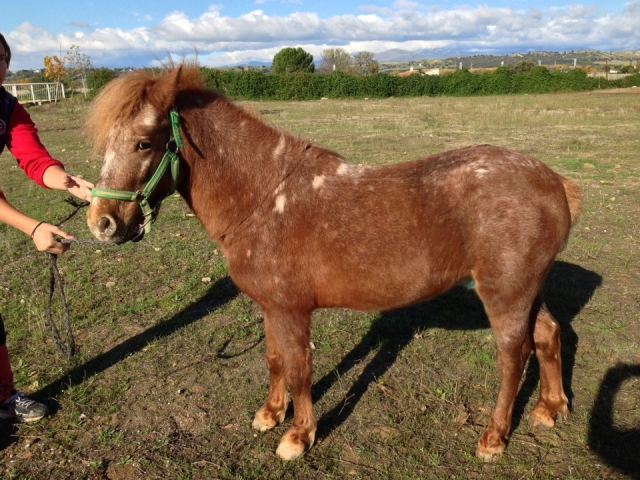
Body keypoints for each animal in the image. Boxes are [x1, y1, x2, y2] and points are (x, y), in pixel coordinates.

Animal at [85, 62, 583, 462]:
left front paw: (297, 436)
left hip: (504, 294)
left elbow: (299, 369)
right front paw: (270, 413)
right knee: (548, 333)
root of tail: (552, 181)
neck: (265, 198)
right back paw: (550, 408)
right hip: (524, 290)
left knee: (512, 356)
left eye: (143, 143)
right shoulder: (270, 306)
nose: (102, 223)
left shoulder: (292, 311)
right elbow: (274, 360)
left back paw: (493, 438)